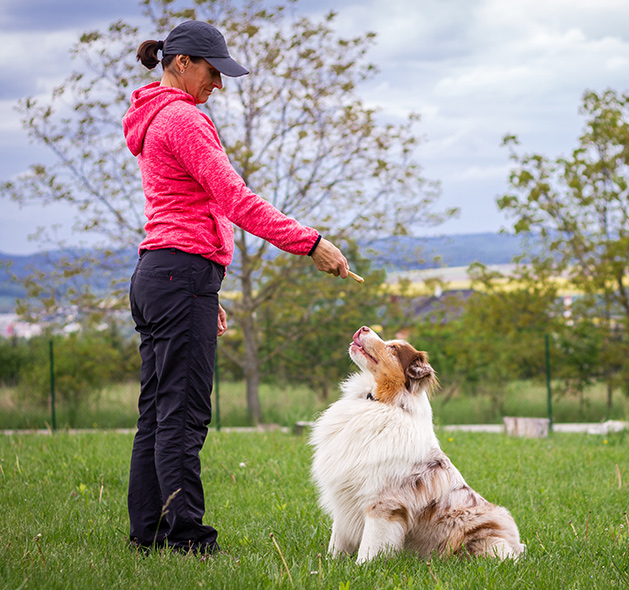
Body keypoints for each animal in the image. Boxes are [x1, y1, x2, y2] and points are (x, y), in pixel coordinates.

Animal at [310, 328, 524, 564]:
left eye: (393, 348)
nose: (363, 328)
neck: (382, 402)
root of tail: (517, 545)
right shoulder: (344, 495)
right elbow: (337, 539)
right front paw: (329, 562)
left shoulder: (383, 502)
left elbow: (370, 545)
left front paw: (362, 566)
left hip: (484, 534)